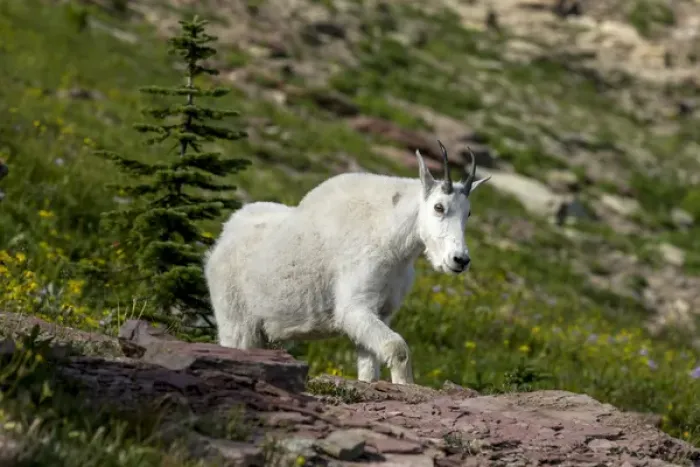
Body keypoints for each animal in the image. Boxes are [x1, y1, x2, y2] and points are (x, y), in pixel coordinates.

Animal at [204, 141, 490, 384]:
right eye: (439, 207)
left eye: (468, 213)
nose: (460, 260)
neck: (394, 243)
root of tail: (221, 240)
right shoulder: (354, 307)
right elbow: (397, 348)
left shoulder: (381, 312)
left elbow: (369, 367)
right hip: (235, 320)